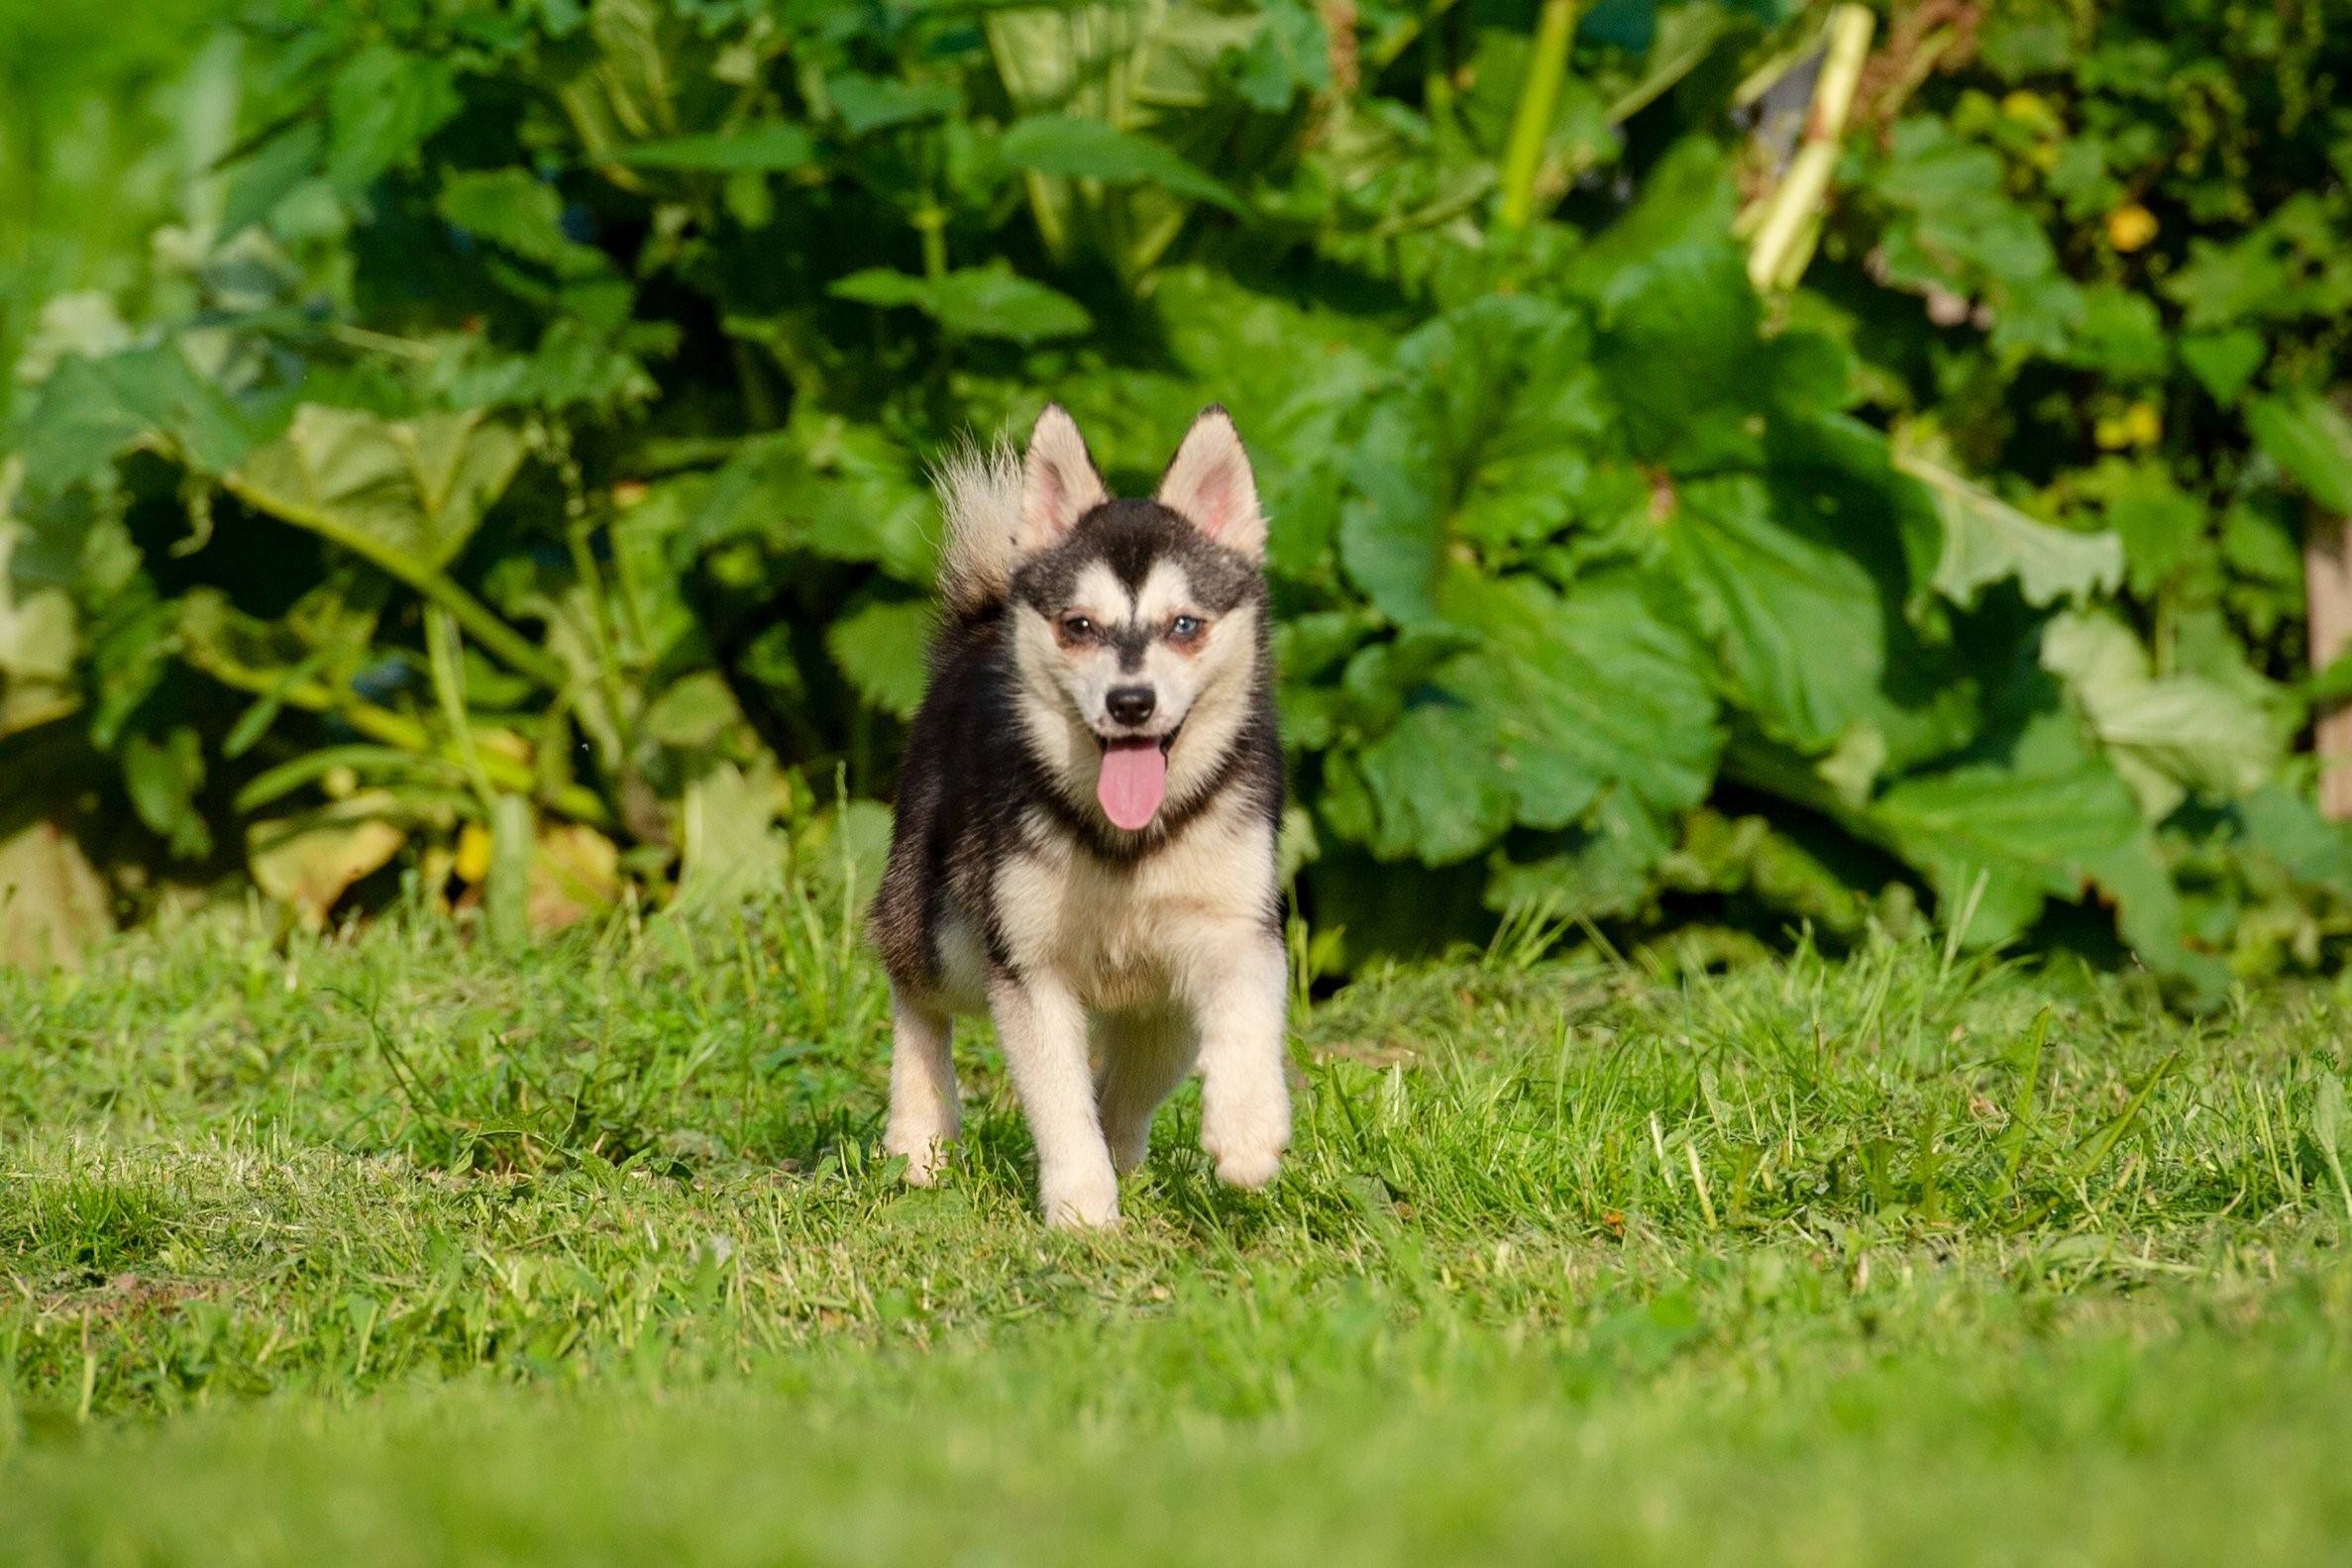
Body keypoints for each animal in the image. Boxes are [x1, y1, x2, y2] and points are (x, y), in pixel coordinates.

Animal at [875, 401, 1298, 1222]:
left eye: (1184, 625)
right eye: (1079, 626)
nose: (1130, 702)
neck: (1129, 842)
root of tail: (981, 623)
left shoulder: (1237, 928)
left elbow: (1244, 1015)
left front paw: (1247, 1132)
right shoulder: (1028, 967)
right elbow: (1058, 1098)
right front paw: (1081, 1210)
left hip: (1163, 1012)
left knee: (1131, 1083)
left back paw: (1125, 1152)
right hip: (948, 929)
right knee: (916, 995)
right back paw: (919, 1136)